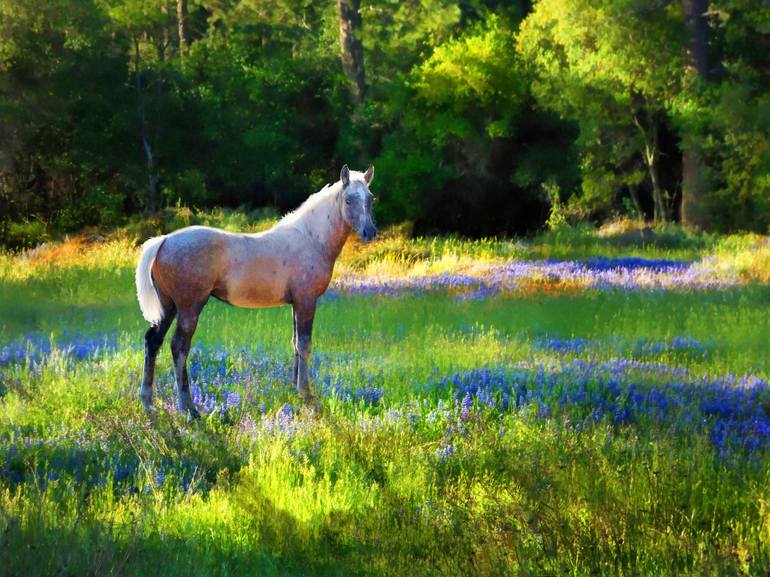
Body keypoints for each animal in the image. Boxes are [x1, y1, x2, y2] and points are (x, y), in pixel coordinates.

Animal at [138, 164, 378, 416]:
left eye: (370, 198)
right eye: (349, 200)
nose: (370, 232)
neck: (310, 238)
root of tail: (165, 240)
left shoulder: (295, 304)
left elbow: (295, 343)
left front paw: (294, 389)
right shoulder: (307, 301)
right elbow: (305, 345)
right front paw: (307, 396)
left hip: (168, 307)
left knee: (153, 342)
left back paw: (148, 403)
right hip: (189, 308)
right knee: (179, 347)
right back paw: (189, 410)